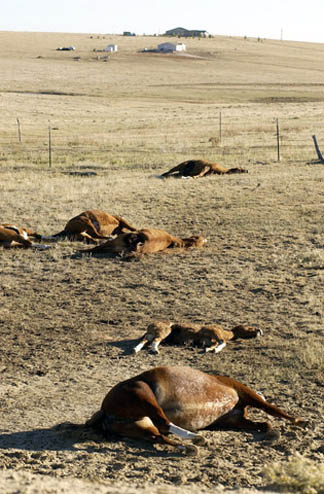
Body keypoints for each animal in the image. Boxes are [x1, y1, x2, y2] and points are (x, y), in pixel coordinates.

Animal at [83, 362, 304, 456]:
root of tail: (104, 410)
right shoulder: (243, 391)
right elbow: (272, 409)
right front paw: (299, 420)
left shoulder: (235, 419)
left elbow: (265, 424)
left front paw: (272, 431)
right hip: (144, 394)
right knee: (164, 423)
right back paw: (195, 439)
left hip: (140, 426)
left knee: (158, 436)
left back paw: (189, 447)